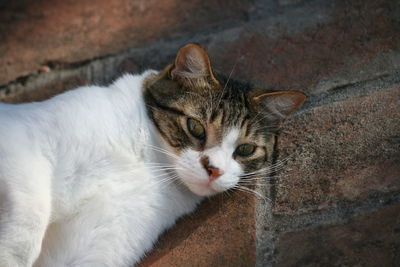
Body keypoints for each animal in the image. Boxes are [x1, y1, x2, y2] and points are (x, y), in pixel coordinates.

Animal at [0, 43, 304, 266]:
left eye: (245, 149)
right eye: (195, 127)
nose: (214, 169)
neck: (147, 162)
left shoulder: (99, 241)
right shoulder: (24, 142)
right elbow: (29, 222)